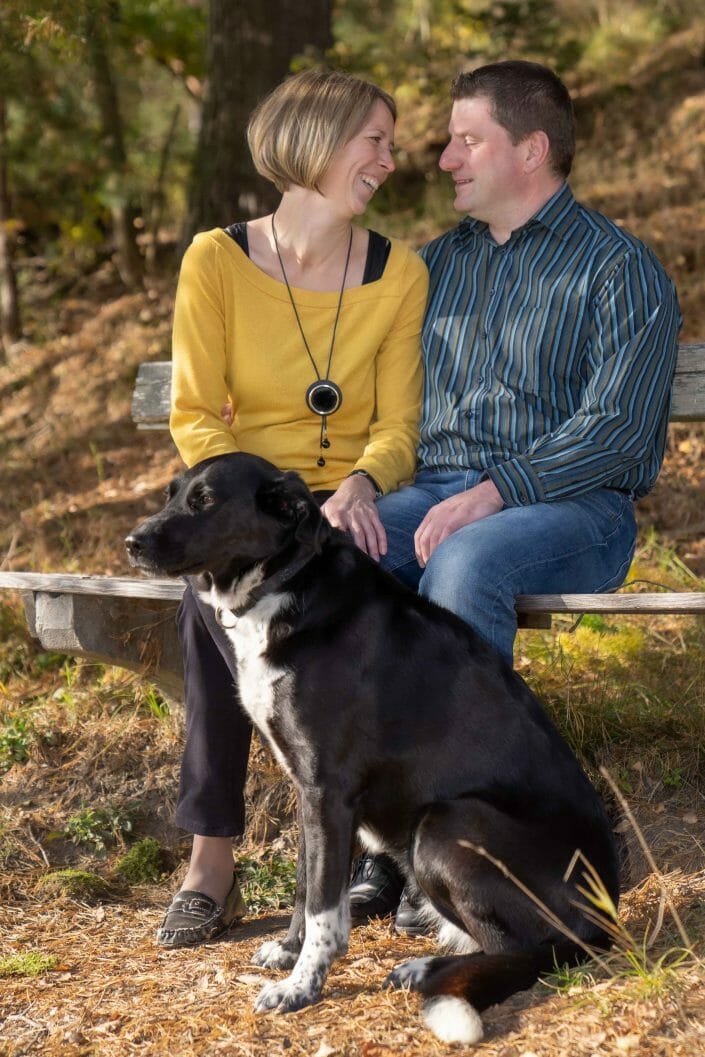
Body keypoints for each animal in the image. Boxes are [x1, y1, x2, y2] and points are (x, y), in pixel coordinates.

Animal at [125, 450, 617, 1044]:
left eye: (205, 501)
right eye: (172, 494)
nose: (131, 541)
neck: (288, 585)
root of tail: (605, 916)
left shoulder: (327, 790)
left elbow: (324, 909)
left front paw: (301, 987)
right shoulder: (308, 791)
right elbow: (306, 886)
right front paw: (289, 953)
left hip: (445, 824)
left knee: (524, 949)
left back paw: (433, 973)